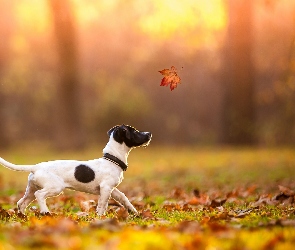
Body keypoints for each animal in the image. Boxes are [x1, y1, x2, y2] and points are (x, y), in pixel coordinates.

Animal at [0, 124, 153, 216]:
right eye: (135, 131)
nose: (149, 133)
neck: (112, 159)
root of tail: (36, 167)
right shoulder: (105, 188)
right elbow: (102, 204)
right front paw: (100, 217)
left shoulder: (112, 189)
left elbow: (123, 197)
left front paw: (133, 211)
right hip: (54, 187)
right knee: (40, 195)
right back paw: (45, 211)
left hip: (31, 189)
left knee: (22, 202)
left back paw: (23, 216)